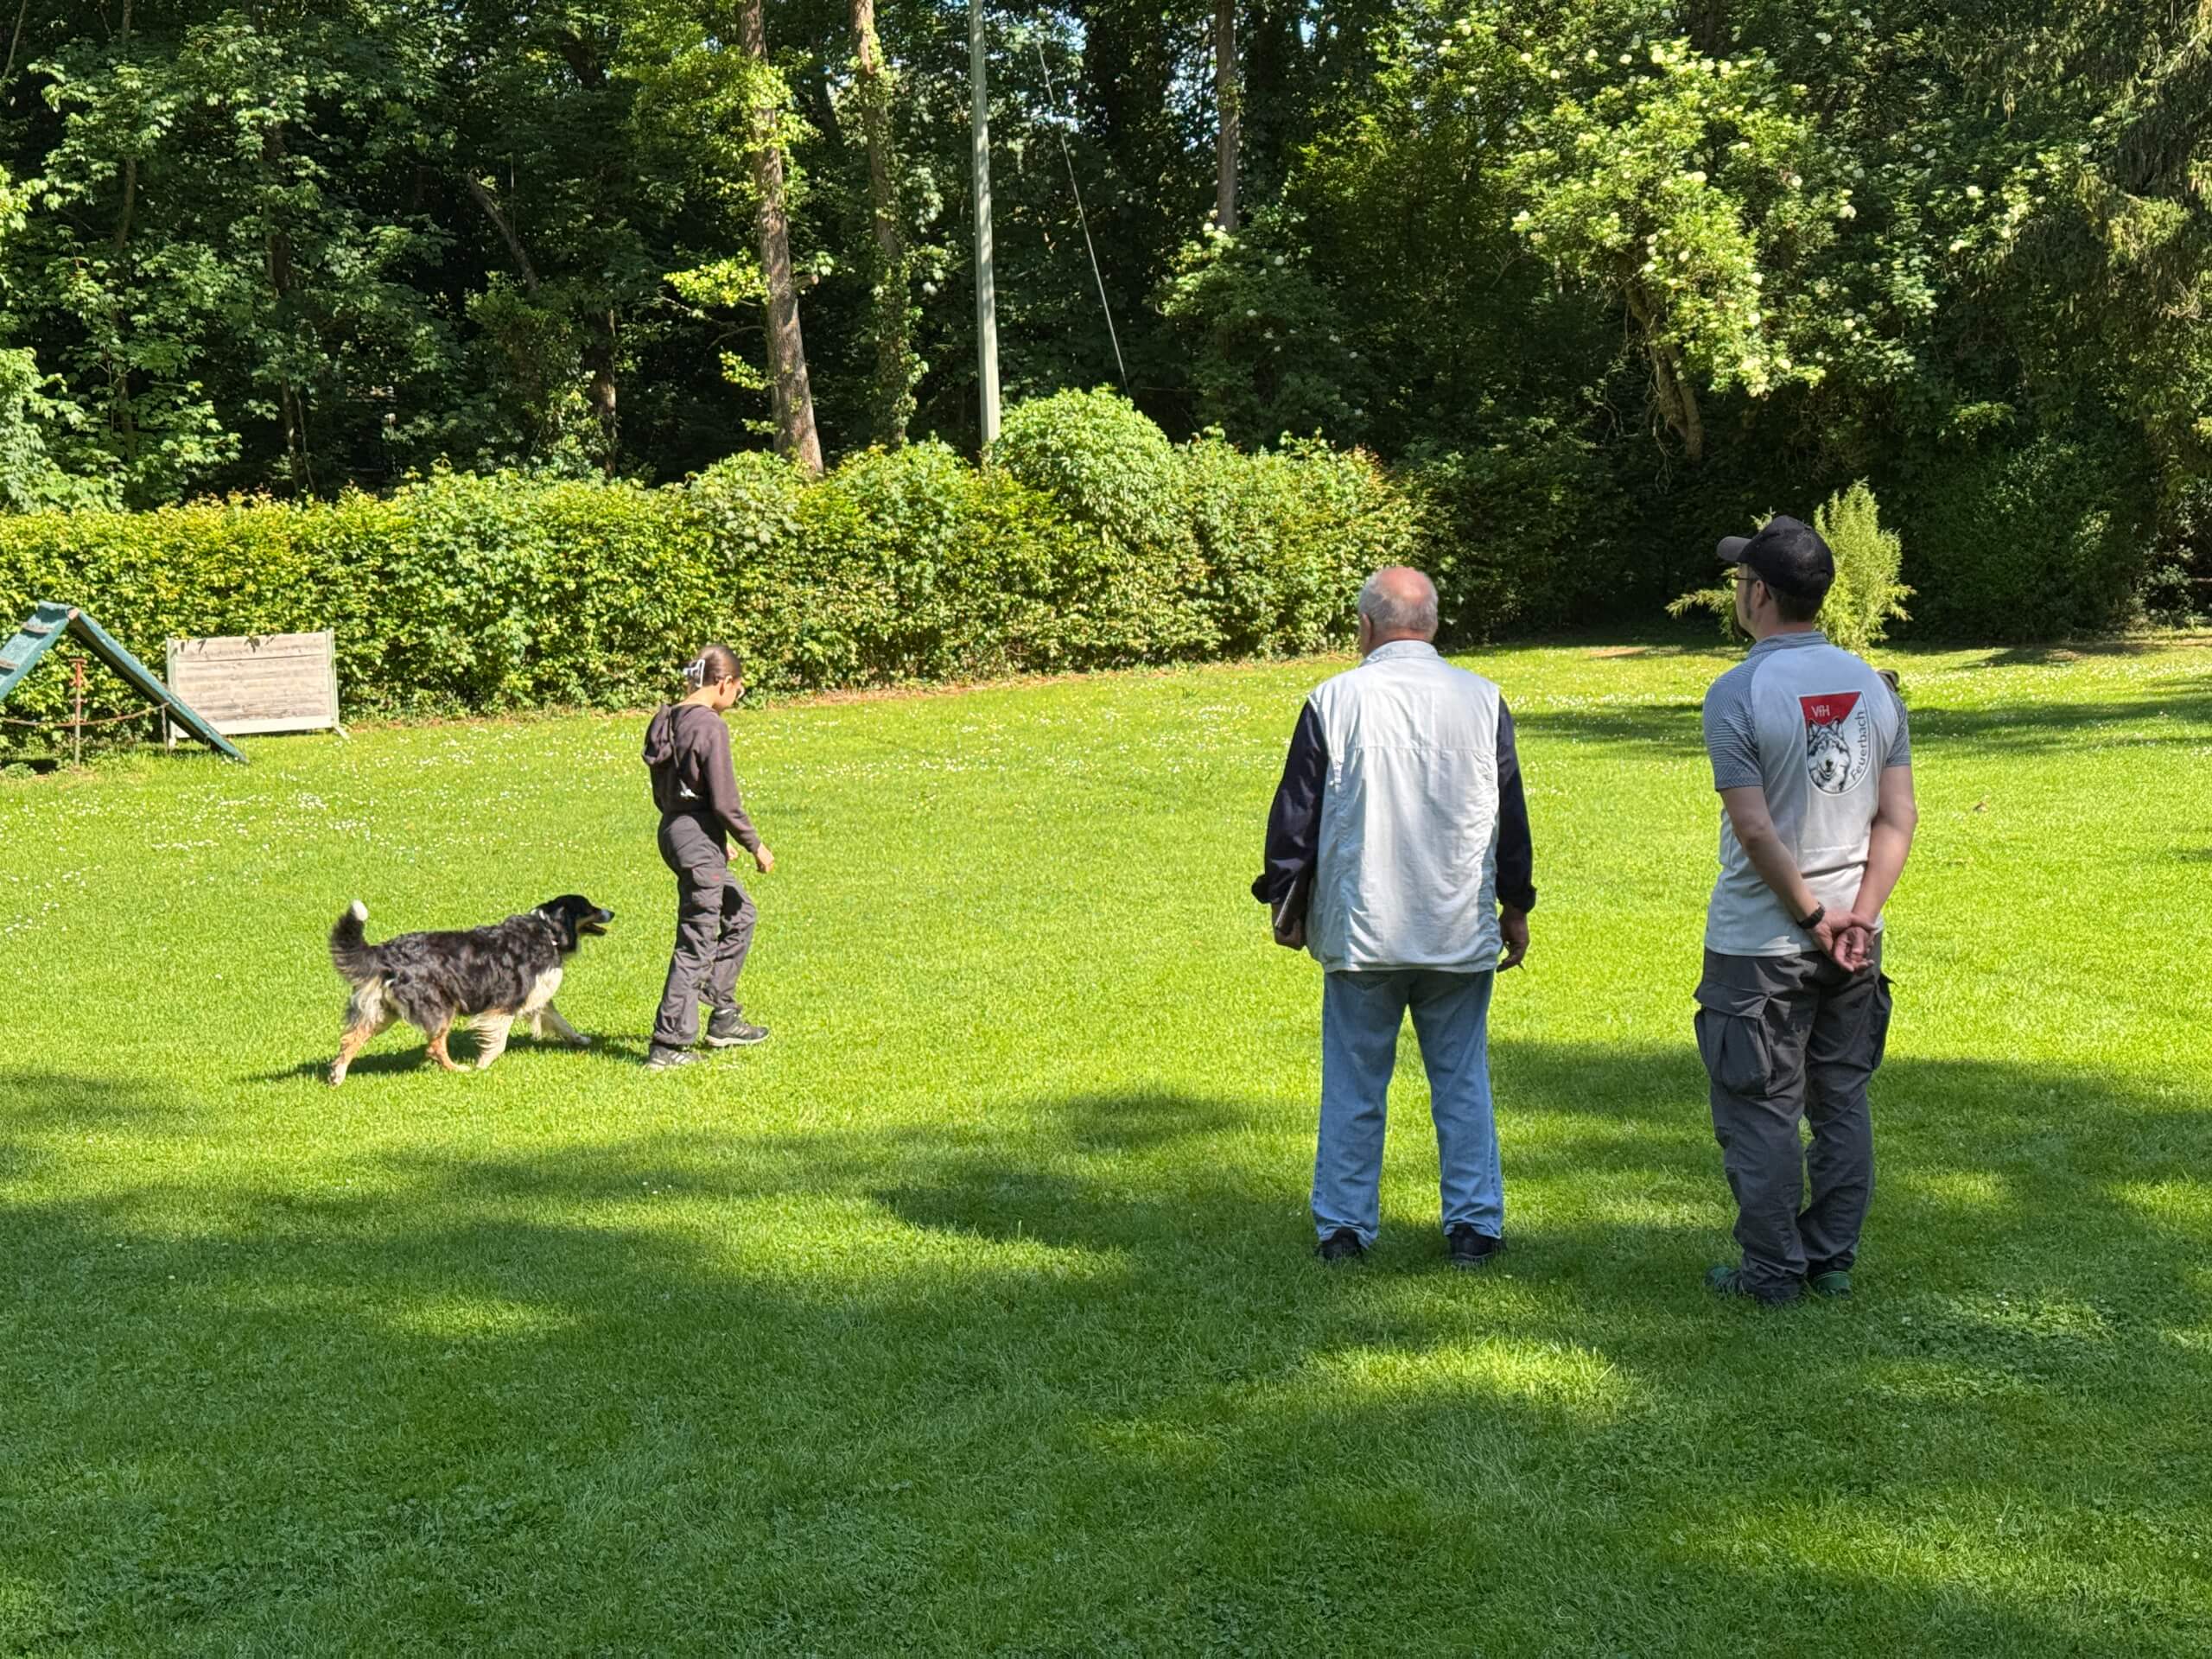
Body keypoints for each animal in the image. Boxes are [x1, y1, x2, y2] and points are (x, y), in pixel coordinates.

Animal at [327, 895, 613, 1086]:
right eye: (590, 907)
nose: (611, 912)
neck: (548, 930)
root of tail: (384, 951)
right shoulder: (505, 1002)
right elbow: (498, 1041)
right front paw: (482, 1065)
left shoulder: (538, 997)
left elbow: (563, 1024)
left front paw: (582, 1040)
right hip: (440, 1006)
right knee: (435, 1047)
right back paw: (458, 1070)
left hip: (382, 1012)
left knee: (350, 1039)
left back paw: (337, 1076)